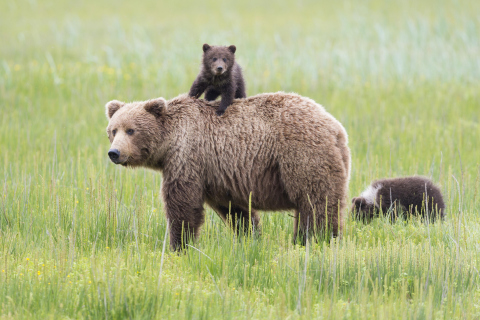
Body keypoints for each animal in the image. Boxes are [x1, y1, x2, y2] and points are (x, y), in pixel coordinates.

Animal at [105, 92, 350, 250]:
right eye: (113, 130)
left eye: (131, 130)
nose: (114, 153)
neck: (169, 142)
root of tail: (336, 128)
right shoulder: (219, 174)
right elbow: (236, 210)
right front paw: (250, 238)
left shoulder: (188, 157)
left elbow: (182, 204)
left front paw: (179, 245)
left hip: (302, 155)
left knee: (315, 202)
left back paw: (317, 240)